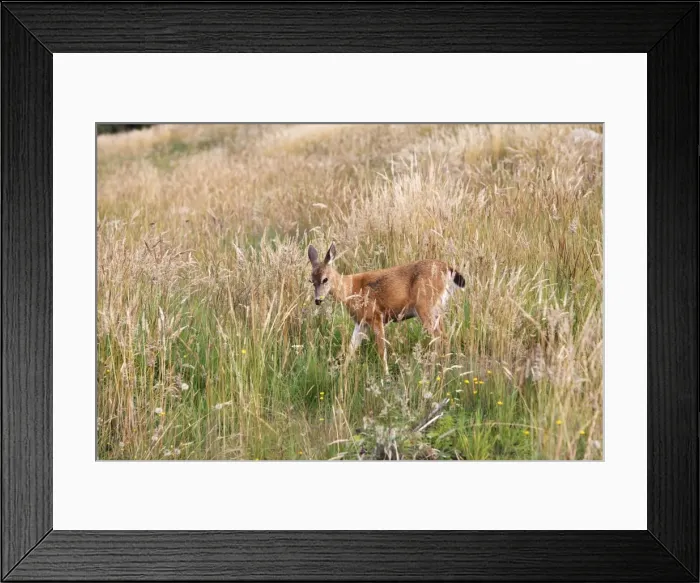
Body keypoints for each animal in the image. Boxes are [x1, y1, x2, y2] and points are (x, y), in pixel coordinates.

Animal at [307, 242, 466, 374]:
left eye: (325, 279)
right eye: (311, 280)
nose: (317, 300)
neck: (350, 289)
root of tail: (447, 269)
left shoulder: (376, 316)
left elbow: (382, 350)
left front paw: (386, 375)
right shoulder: (361, 322)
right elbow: (351, 348)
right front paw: (342, 372)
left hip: (425, 306)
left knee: (439, 337)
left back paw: (434, 371)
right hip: (438, 309)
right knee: (445, 336)